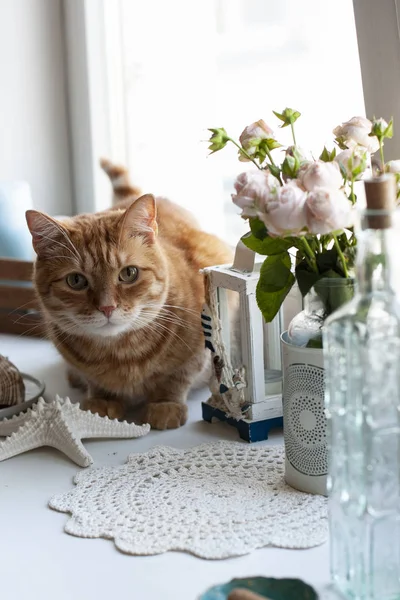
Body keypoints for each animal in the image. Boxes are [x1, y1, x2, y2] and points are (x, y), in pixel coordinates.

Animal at [26, 159, 231, 428]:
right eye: (76, 280)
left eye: (129, 273)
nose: (107, 307)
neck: (119, 356)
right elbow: (95, 381)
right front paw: (102, 401)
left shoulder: (198, 347)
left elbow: (176, 379)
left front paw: (165, 406)